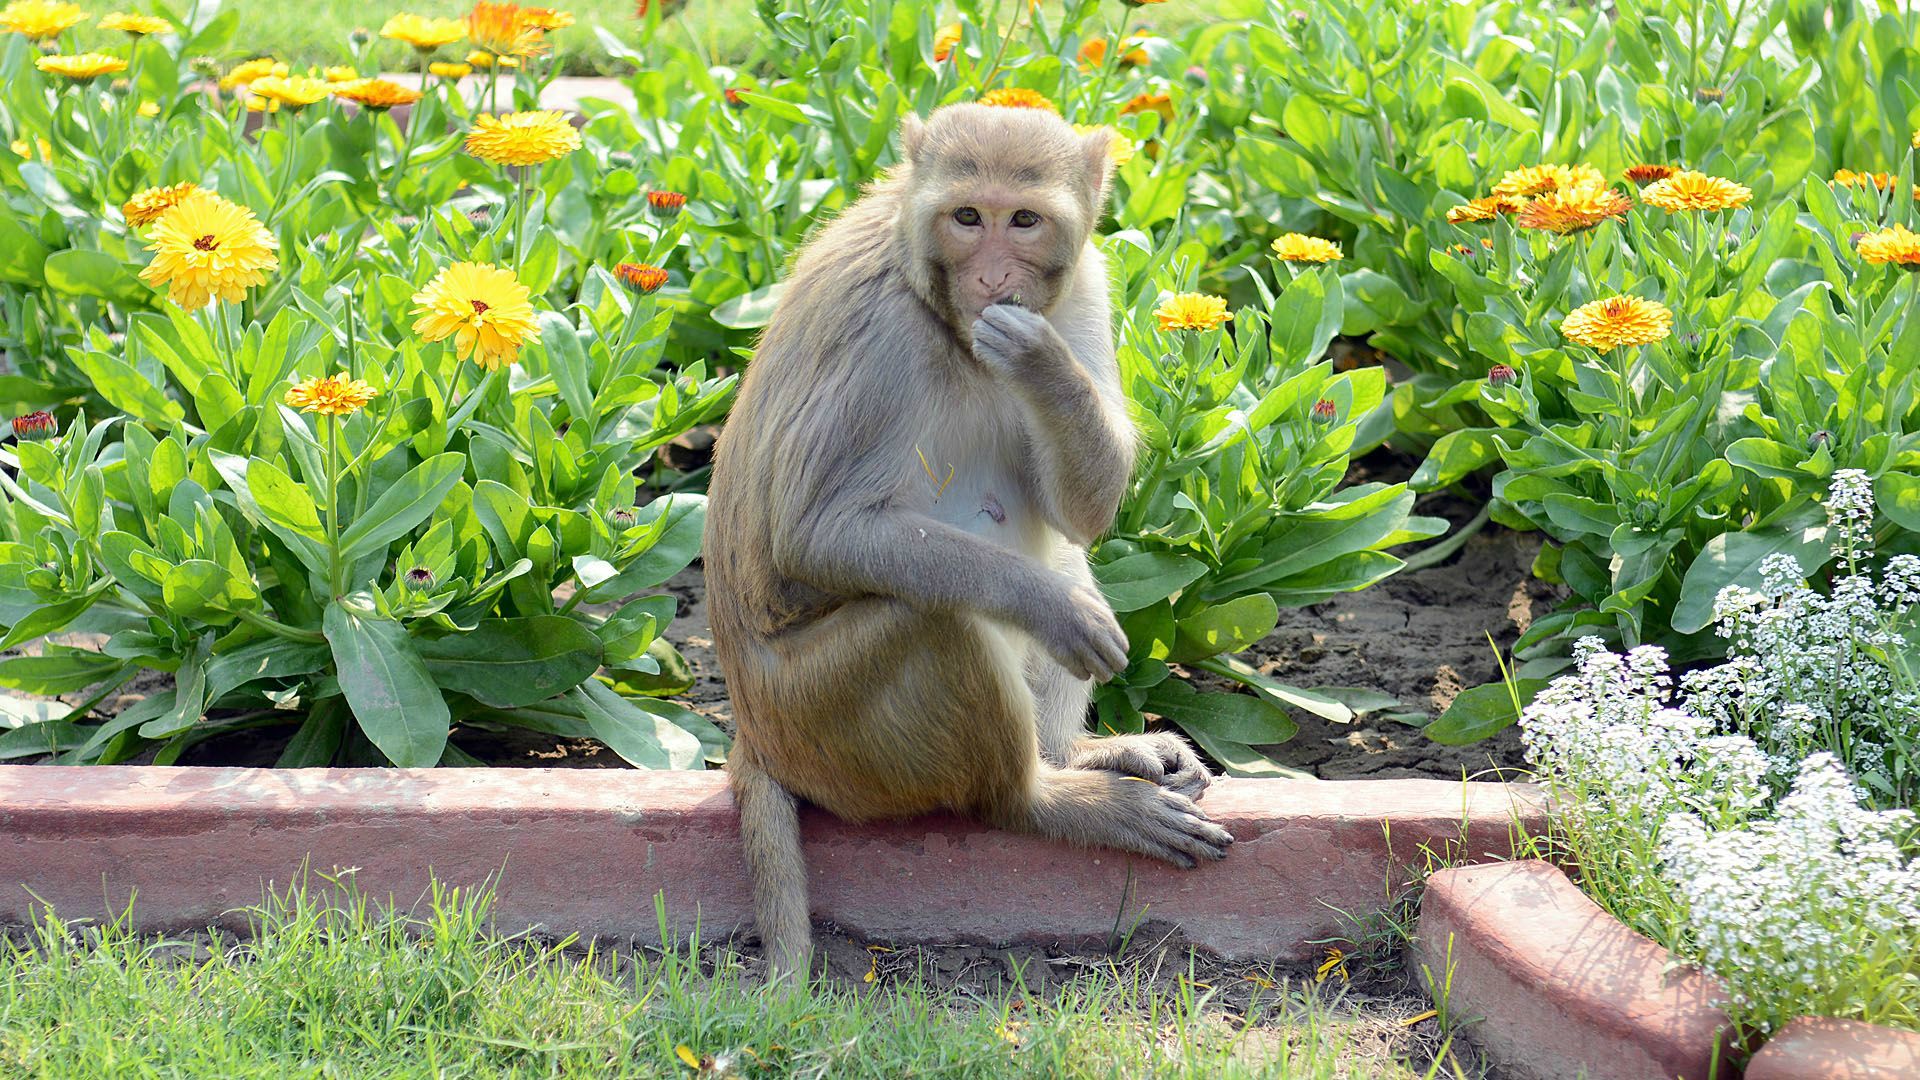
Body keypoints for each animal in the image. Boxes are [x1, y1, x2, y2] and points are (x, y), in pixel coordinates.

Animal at [706, 102, 1228, 976]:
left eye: (1022, 221)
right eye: (967, 218)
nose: (990, 280)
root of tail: (754, 739)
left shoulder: (1086, 284)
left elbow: (1078, 512)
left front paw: (1042, 361)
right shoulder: (875, 332)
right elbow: (812, 534)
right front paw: (1049, 609)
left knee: (1061, 550)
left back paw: (1072, 755)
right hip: (823, 723)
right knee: (935, 617)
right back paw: (1048, 799)